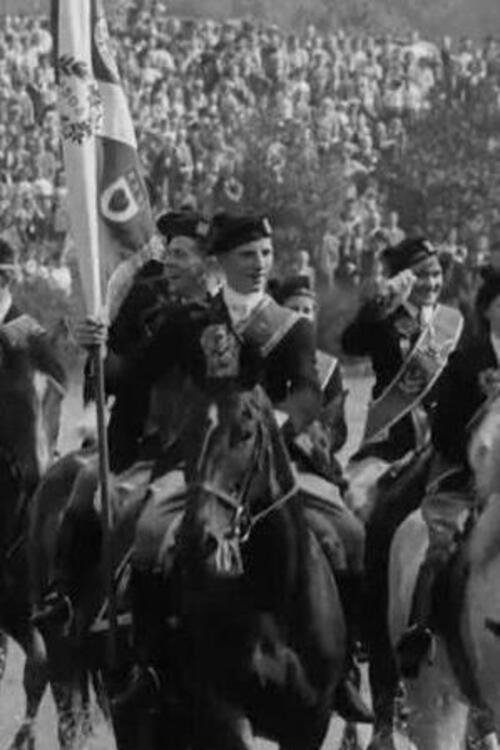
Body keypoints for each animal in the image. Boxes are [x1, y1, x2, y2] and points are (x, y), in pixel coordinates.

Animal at [148, 388, 350, 750]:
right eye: (189, 433)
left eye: (245, 434)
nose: (196, 536)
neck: (272, 595)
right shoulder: (223, 710)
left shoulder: (311, 719)